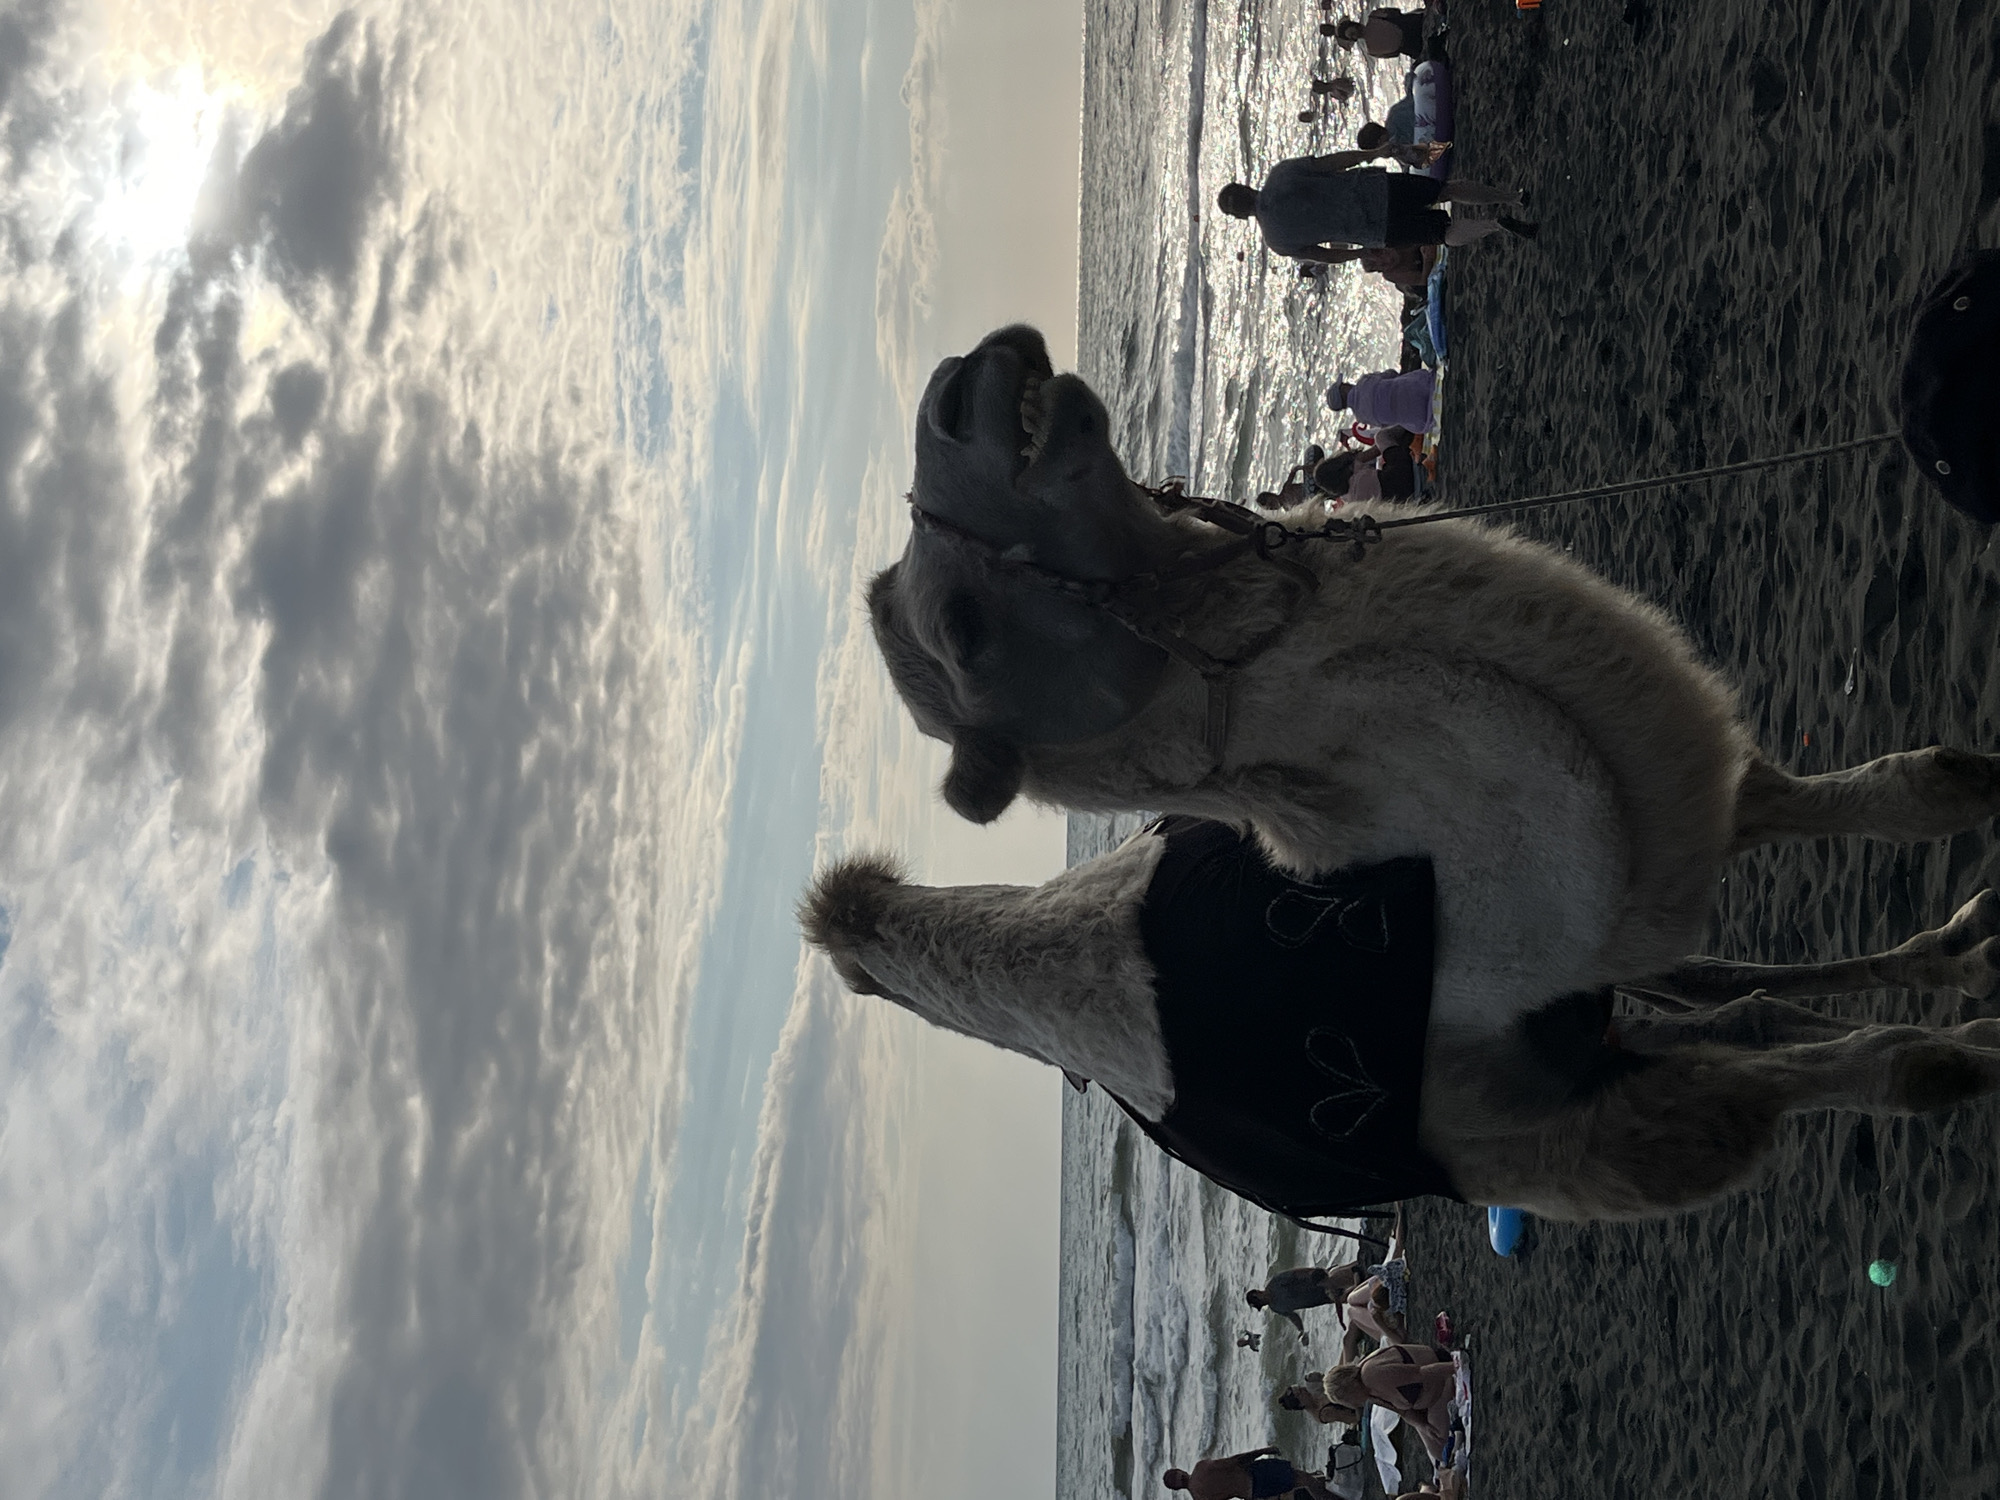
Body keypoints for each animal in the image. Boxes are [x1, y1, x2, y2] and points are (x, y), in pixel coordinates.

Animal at [825, 323, 2000, 1222]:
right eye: (963, 630)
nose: (958, 387)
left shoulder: (1674, 814)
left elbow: (1919, 785)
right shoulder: (1586, 1129)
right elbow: (1909, 1070)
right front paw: (1970, 1048)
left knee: (1725, 986)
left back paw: (1961, 950)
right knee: (1734, 1010)